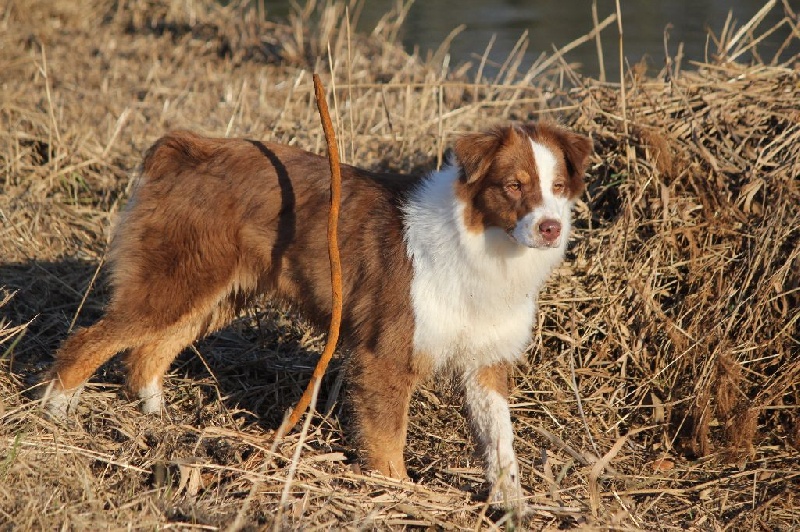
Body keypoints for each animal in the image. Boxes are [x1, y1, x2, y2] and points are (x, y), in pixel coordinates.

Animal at [45, 123, 592, 502]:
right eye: (513, 185)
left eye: (559, 187)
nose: (550, 228)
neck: (483, 245)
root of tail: (187, 147)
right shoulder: (385, 357)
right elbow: (387, 442)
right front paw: (395, 494)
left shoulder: (485, 365)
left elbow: (502, 444)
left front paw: (512, 505)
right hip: (176, 285)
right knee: (86, 342)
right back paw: (56, 414)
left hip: (213, 295)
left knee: (146, 356)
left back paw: (163, 424)